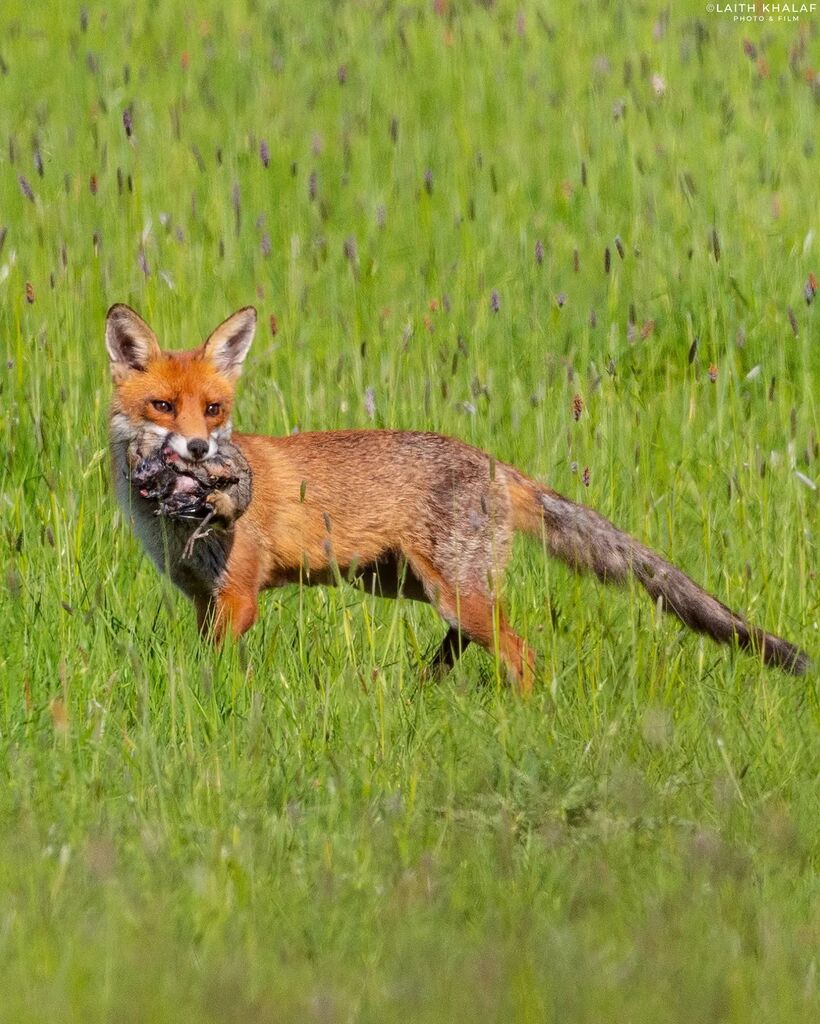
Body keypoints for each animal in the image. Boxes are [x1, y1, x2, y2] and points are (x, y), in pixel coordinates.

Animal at [106, 303, 809, 689]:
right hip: (415, 587)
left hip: (449, 591)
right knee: (467, 643)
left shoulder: (238, 595)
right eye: (163, 406)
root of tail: (498, 465)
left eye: (213, 408)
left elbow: (218, 667)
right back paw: (425, 689)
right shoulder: (202, 599)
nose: (200, 451)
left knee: (521, 653)